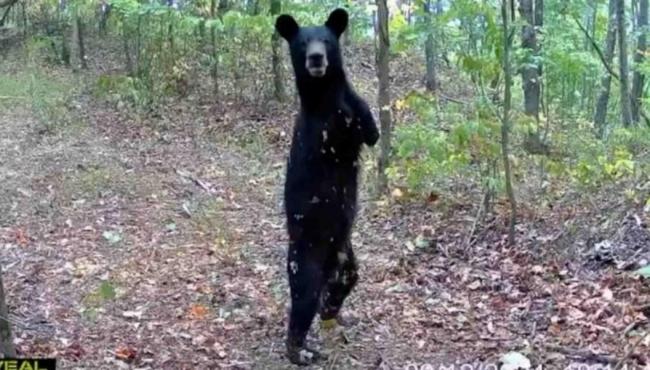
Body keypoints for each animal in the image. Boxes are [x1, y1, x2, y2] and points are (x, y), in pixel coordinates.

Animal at [274, 7, 380, 364]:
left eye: (327, 40)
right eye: (303, 43)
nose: (316, 58)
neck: (323, 94)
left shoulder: (356, 114)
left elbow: (370, 128)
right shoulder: (321, 130)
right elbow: (335, 133)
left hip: (345, 252)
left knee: (345, 280)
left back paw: (330, 311)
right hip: (307, 255)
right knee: (303, 299)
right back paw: (301, 351)